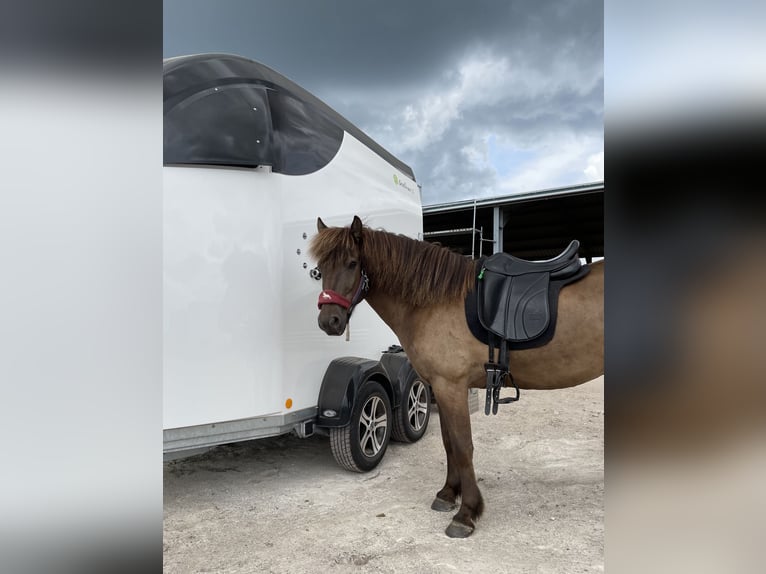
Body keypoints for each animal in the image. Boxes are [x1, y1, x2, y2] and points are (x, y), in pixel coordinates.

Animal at [309, 215, 604, 538]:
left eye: (352, 263)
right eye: (319, 268)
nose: (329, 322)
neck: (433, 301)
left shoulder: (451, 387)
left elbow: (463, 447)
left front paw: (467, 513)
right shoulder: (441, 388)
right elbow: (449, 444)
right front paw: (449, 494)